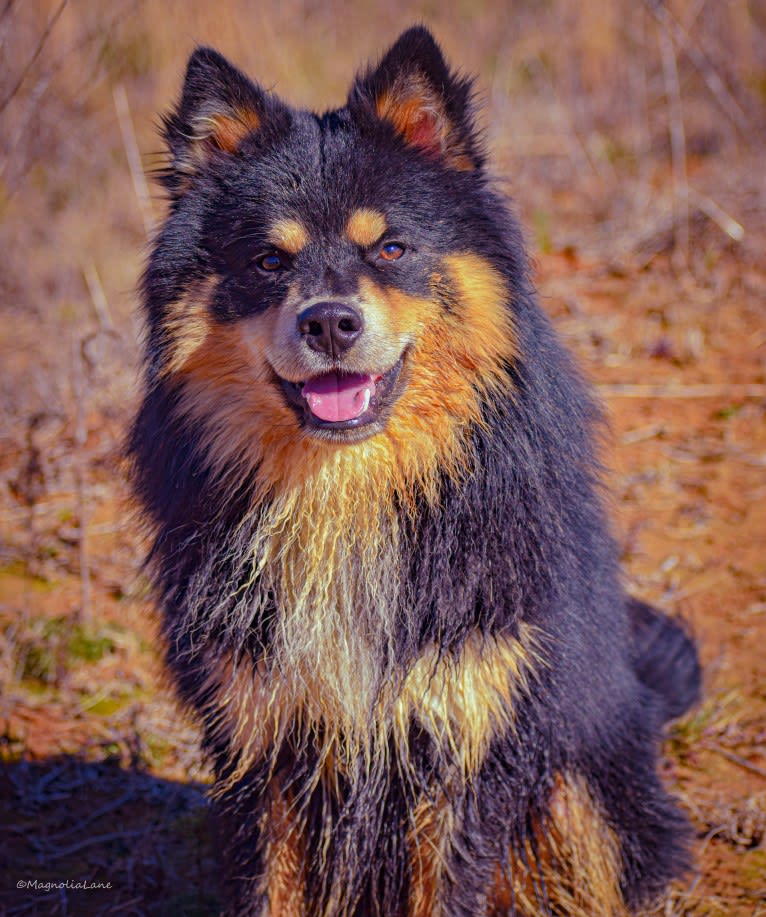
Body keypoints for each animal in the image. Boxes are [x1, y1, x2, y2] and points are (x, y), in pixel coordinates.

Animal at [130, 28, 704, 916]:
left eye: (391, 248)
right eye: (267, 261)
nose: (330, 322)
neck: (345, 493)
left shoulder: (467, 733)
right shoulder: (263, 740)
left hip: (582, 781)